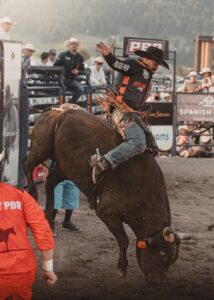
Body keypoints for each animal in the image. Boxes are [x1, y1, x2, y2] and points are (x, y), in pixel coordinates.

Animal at [23, 108, 180, 284]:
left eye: (173, 258)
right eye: (162, 253)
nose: (156, 282)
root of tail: (58, 112)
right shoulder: (107, 212)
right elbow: (123, 240)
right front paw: (121, 269)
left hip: (64, 168)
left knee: (50, 182)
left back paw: (47, 217)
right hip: (41, 148)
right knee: (27, 164)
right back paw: (32, 192)